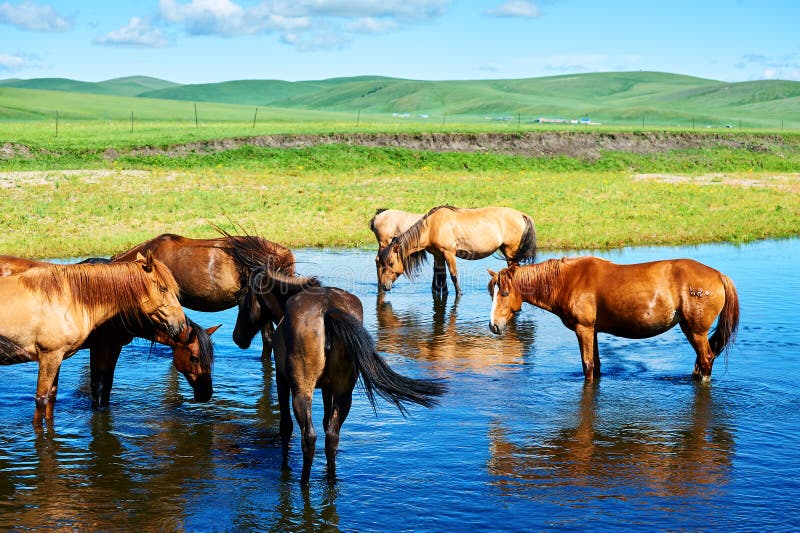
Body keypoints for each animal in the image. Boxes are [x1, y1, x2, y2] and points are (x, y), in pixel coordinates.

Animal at [231, 268, 446, 484]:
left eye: (243, 300)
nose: (237, 337)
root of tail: (328, 310)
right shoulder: (328, 388)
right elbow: (326, 421)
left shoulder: (282, 381)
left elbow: (286, 427)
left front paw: (284, 467)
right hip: (344, 393)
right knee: (332, 435)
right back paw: (331, 479)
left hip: (302, 391)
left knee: (309, 437)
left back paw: (304, 482)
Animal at [376, 205, 536, 296]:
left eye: (391, 262)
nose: (384, 286)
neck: (432, 227)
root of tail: (522, 215)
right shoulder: (438, 254)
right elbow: (441, 275)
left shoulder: (449, 253)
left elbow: (453, 276)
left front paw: (459, 294)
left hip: (510, 251)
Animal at [488, 258, 744, 382]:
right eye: (492, 293)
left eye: (504, 293)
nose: (493, 326)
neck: (568, 280)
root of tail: (718, 275)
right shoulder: (593, 331)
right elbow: (597, 365)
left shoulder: (583, 330)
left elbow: (588, 366)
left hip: (695, 330)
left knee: (706, 360)